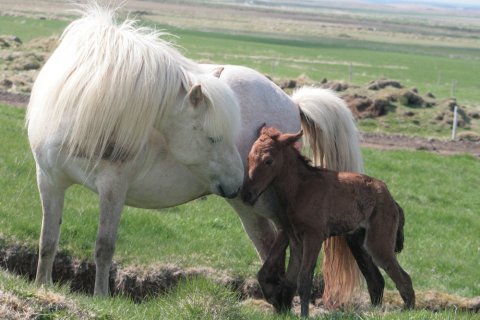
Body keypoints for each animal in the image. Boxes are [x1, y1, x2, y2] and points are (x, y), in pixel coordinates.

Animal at [25, 5, 364, 304]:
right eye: (213, 137)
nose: (239, 181)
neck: (82, 108)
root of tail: (292, 102)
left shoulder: (113, 186)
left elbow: (103, 245)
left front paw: (101, 298)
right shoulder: (48, 180)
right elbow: (48, 239)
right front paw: (43, 286)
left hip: (263, 202)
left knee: (288, 241)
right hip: (247, 206)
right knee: (268, 243)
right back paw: (274, 297)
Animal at [242, 125, 414, 318]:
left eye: (268, 161)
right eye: (249, 158)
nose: (246, 194)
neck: (300, 189)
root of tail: (393, 202)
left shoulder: (314, 236)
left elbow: (304, 279)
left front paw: (304, 315)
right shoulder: (295, 240)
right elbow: (291, 280)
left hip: (379, 244)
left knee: (403, 278)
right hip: (358, 242)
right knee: (376, 280)